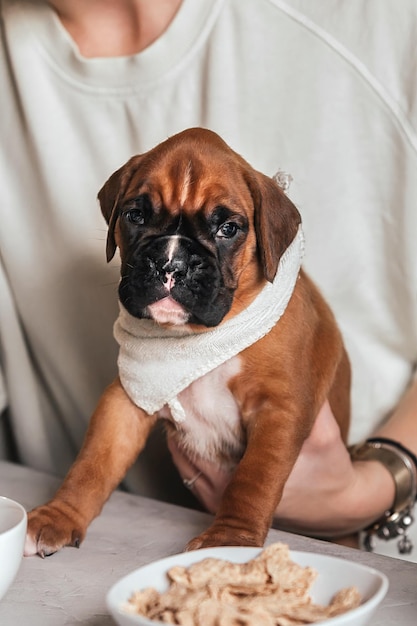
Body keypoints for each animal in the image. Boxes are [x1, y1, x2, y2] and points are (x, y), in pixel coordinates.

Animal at [23, 128, 348, 556]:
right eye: (136, 216)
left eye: (228, 229)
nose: (170, 264)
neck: (195, 340)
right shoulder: (129, 396)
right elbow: (93, 461)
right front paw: (59, 515)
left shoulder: (279, 409)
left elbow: (253, 479)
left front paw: (230, 540)